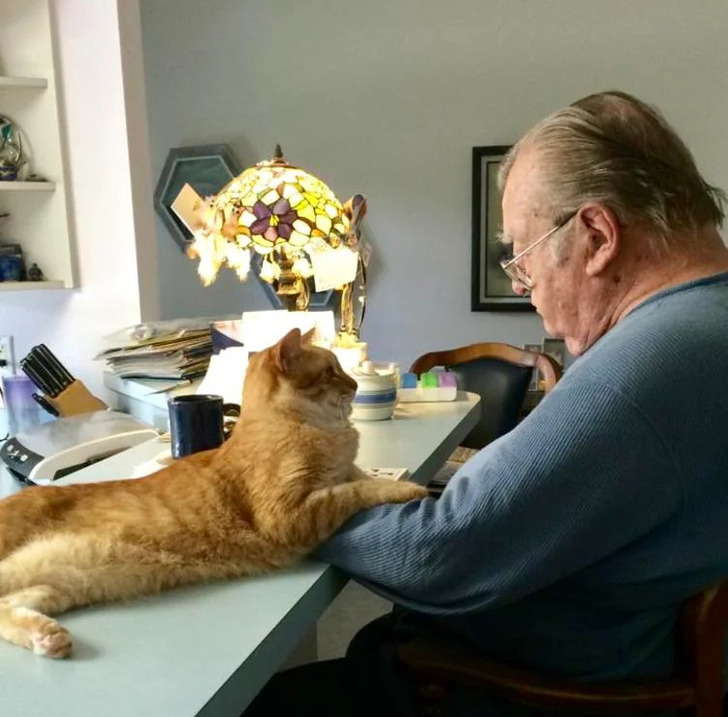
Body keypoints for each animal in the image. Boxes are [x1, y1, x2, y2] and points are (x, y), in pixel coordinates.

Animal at [0, 328, 426, 656]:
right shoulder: (288, 516)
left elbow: (360, 475)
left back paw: (48, 638)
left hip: (57, 583)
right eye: (330, 371)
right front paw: (409, 488)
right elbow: (357, 489)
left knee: (6, 608)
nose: (354, 385)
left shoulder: (340, 474)